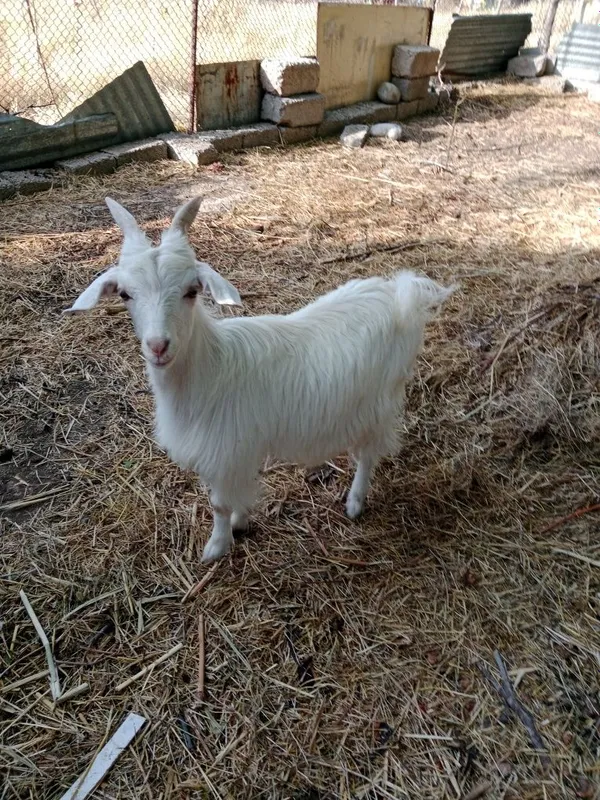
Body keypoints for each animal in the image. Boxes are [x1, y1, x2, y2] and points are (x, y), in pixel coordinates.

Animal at [65, 197, 454, 563]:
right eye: (125, 294)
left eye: (192, 291)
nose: (158, 346)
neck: (208, 368)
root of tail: (398, 292)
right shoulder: (231, 450)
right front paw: (240, 523)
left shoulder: (224, 448)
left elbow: (219, 503)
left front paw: (217, 545)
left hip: (379, 398)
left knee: (369, 454)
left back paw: (355, 501)